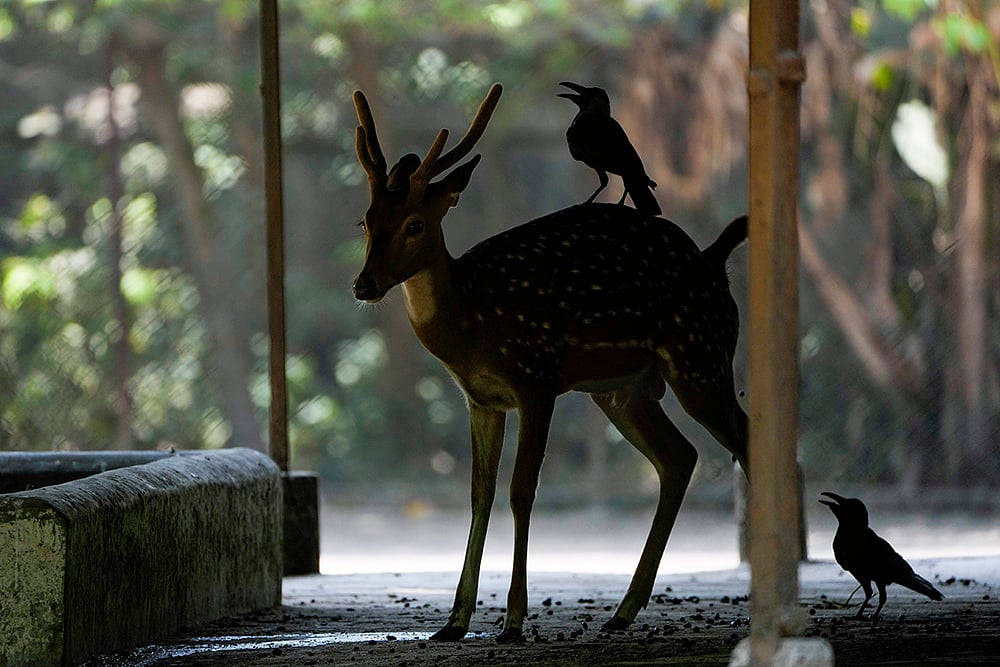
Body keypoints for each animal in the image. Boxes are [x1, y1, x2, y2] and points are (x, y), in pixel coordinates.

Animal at [351, 82, 749, 643]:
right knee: (680, 456)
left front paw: (514, 621)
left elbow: (521, 491)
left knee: (745, 437)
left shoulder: (536, 378)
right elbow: (479, 494)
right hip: (623, 390)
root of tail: (716, 264)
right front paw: (454, 621)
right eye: (365, 219)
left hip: (701, 356)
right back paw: (622, 611)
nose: (363, 284)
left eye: (415, 223)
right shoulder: (481, 399)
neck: (474, 320)